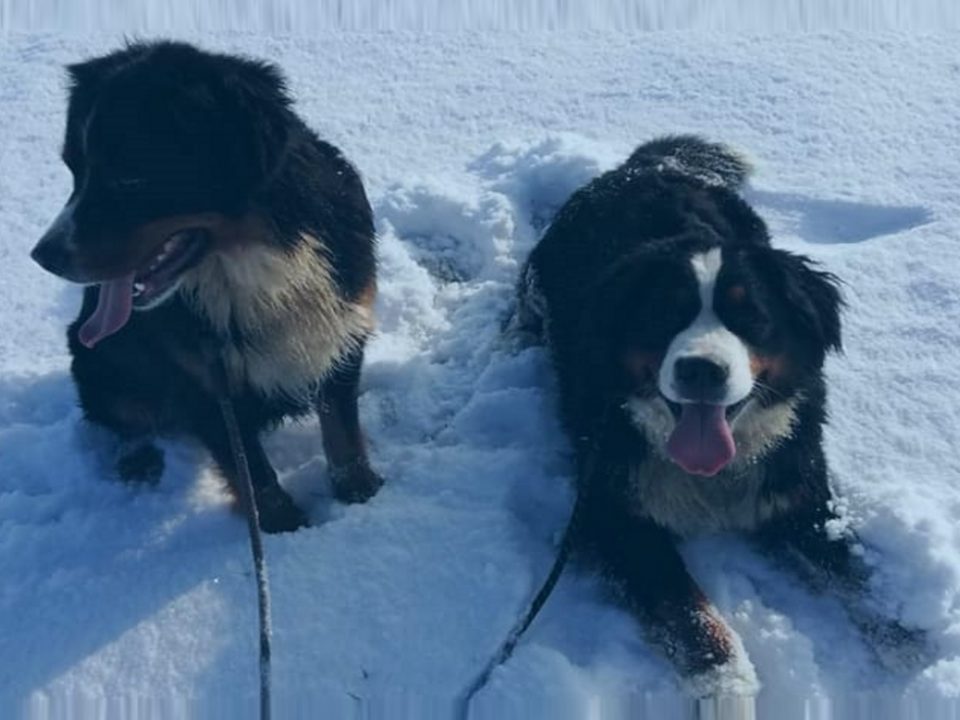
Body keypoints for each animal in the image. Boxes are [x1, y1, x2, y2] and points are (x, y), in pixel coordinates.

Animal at [30, 40, 382, 536]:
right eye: (73, 170)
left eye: (128, 178)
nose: (43, 256)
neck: (253, 262)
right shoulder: (201, 379)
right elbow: (252, 471)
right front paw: (283, 527)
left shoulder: (342, 329)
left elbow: (341, 430)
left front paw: (360, 493)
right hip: (99, 356)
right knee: (120, 417)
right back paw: (137, 461)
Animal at [516, 135, 928, 696]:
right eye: (663, 314)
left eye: (750, 315)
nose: (701, 370)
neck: (715, 475)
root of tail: (645, 165)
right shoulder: (613, 513)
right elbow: (697, 622)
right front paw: (728, 689)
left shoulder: (796, 494)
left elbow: (858, 580)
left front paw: (915, 655)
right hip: (540, 279)